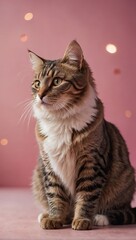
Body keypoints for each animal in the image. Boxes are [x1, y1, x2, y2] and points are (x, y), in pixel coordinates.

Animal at [28, 40, 135, 230]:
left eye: (57, 81)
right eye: (37, 83)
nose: (40, 96)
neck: (60, 119)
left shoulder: (91, 163)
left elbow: (86, 196)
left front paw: (82, 220)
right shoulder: (50, 165)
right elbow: (55, 195)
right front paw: (55, 218)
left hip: (125, 180)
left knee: (121, 211)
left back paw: (99, 218)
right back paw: (50, 215)